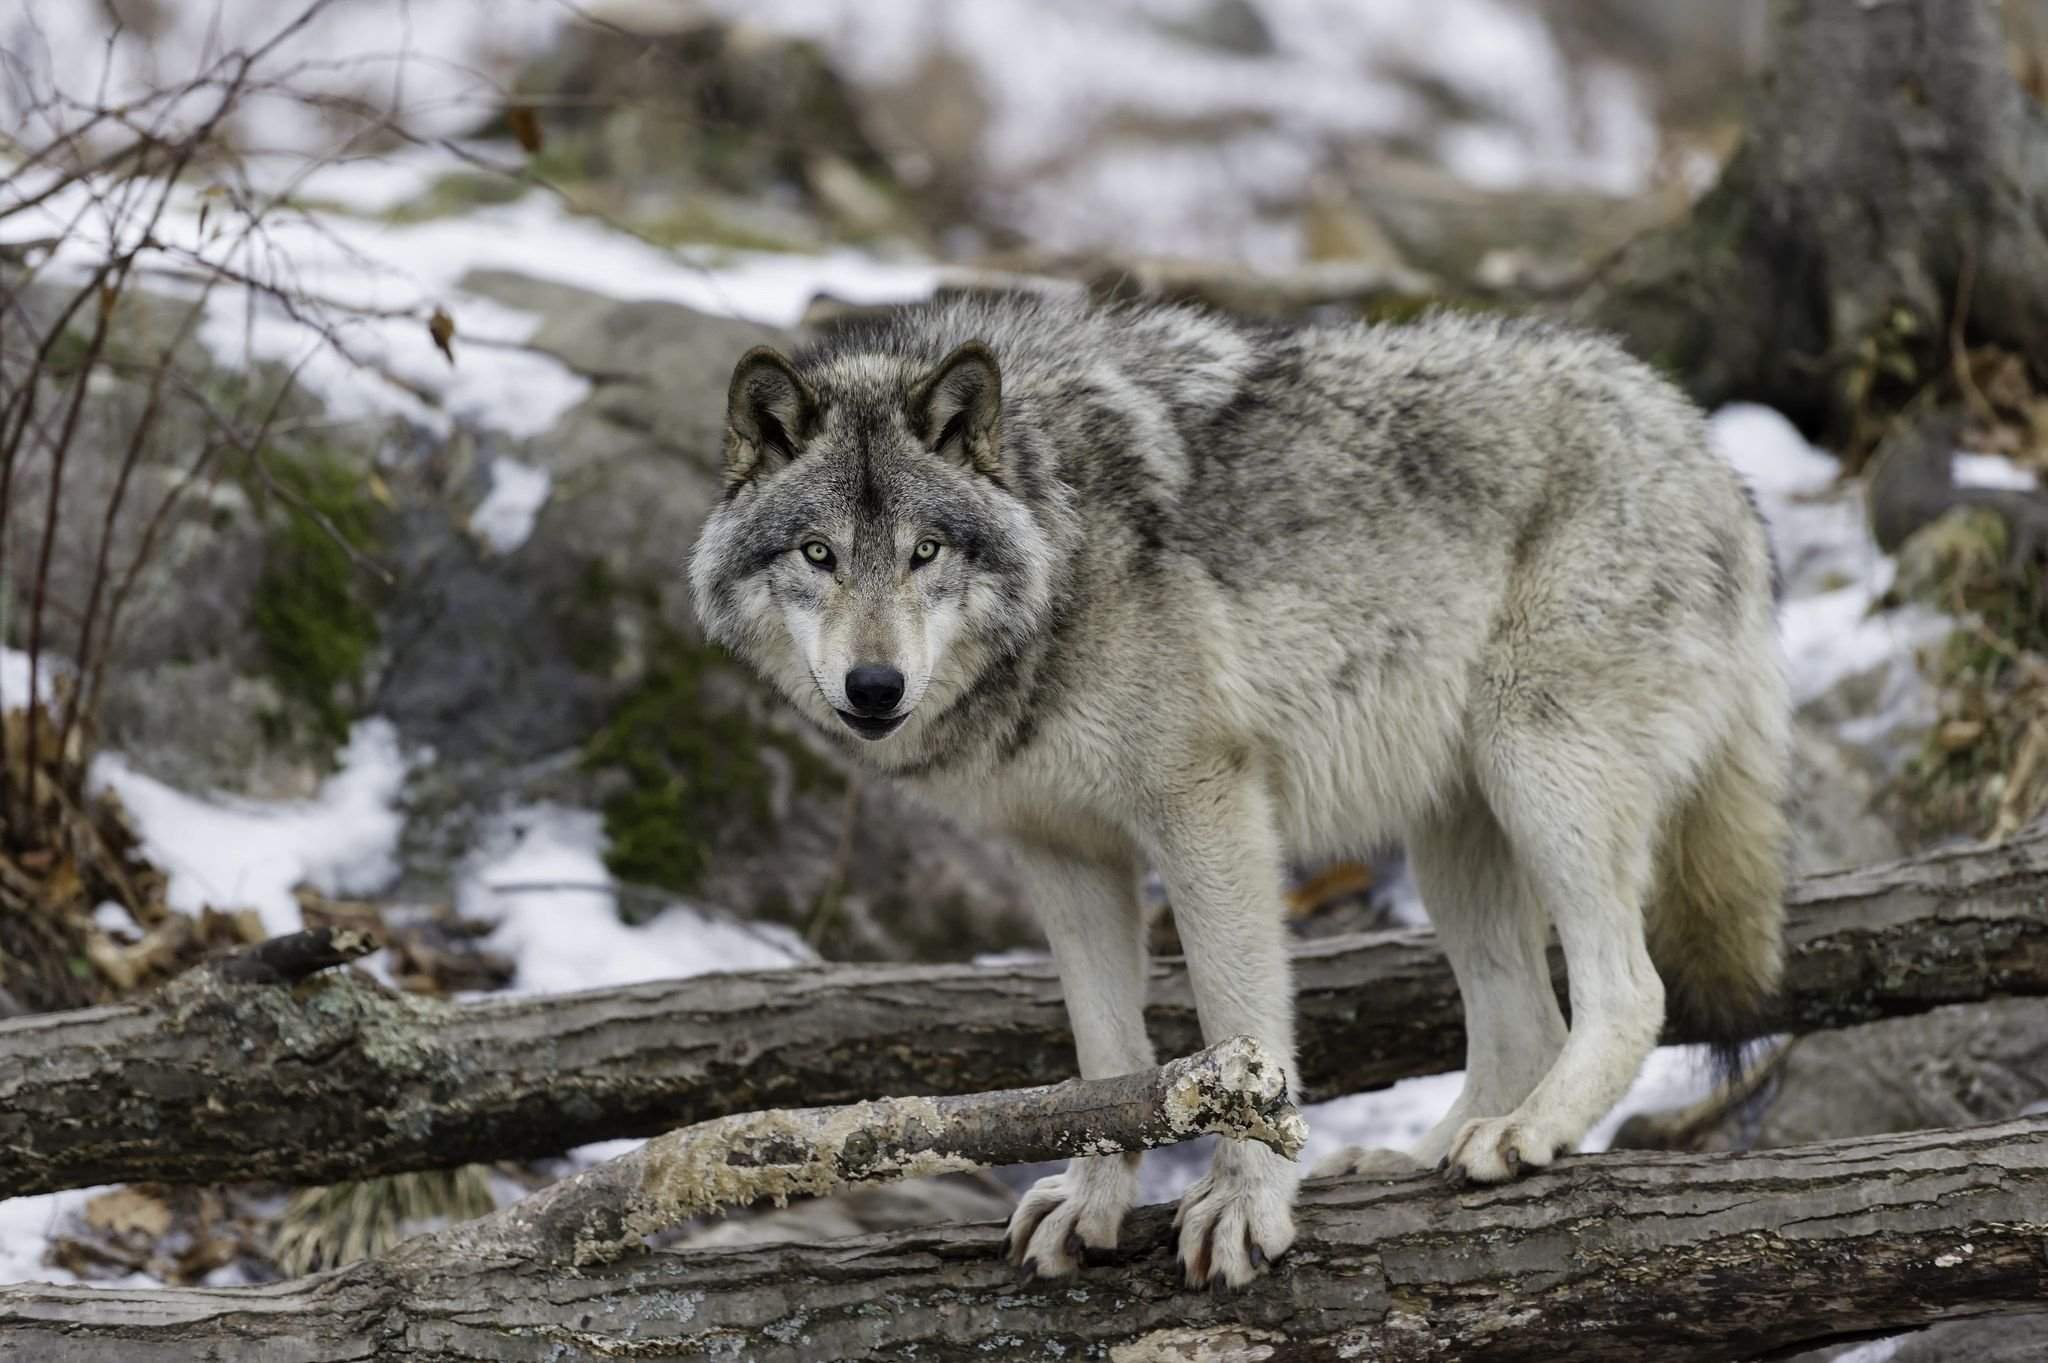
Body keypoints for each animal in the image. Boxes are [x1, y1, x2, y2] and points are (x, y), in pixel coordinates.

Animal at [684, 286, 1777, 1285]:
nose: (874, 687)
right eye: (818, 554)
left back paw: (1525, 1134)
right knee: (1524, 1022)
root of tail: (1697, 437)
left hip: (1538, 771)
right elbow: (1105, 1056)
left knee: (1628, 991)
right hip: (1451, 836)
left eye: (925, 552)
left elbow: (1237, 1025)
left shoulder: (1206, 812)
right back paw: (1418, 1157)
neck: (1063, 538)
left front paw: (1245, 1205)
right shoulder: (1063, 854)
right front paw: (1092, 1203)